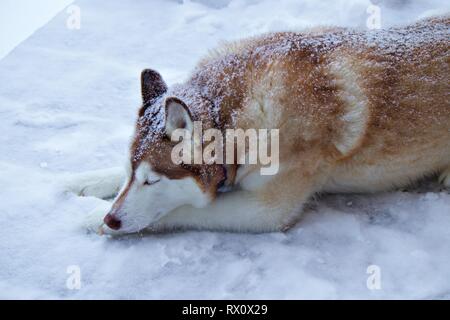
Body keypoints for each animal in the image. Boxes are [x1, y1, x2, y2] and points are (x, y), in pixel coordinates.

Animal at [68, 15, 450, 235]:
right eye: (131, 175)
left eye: (153, 181)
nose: (112, 219)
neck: (230, 115)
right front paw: (81, 182)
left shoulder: (266, 209)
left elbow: (188, 208)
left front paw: (93, 217)